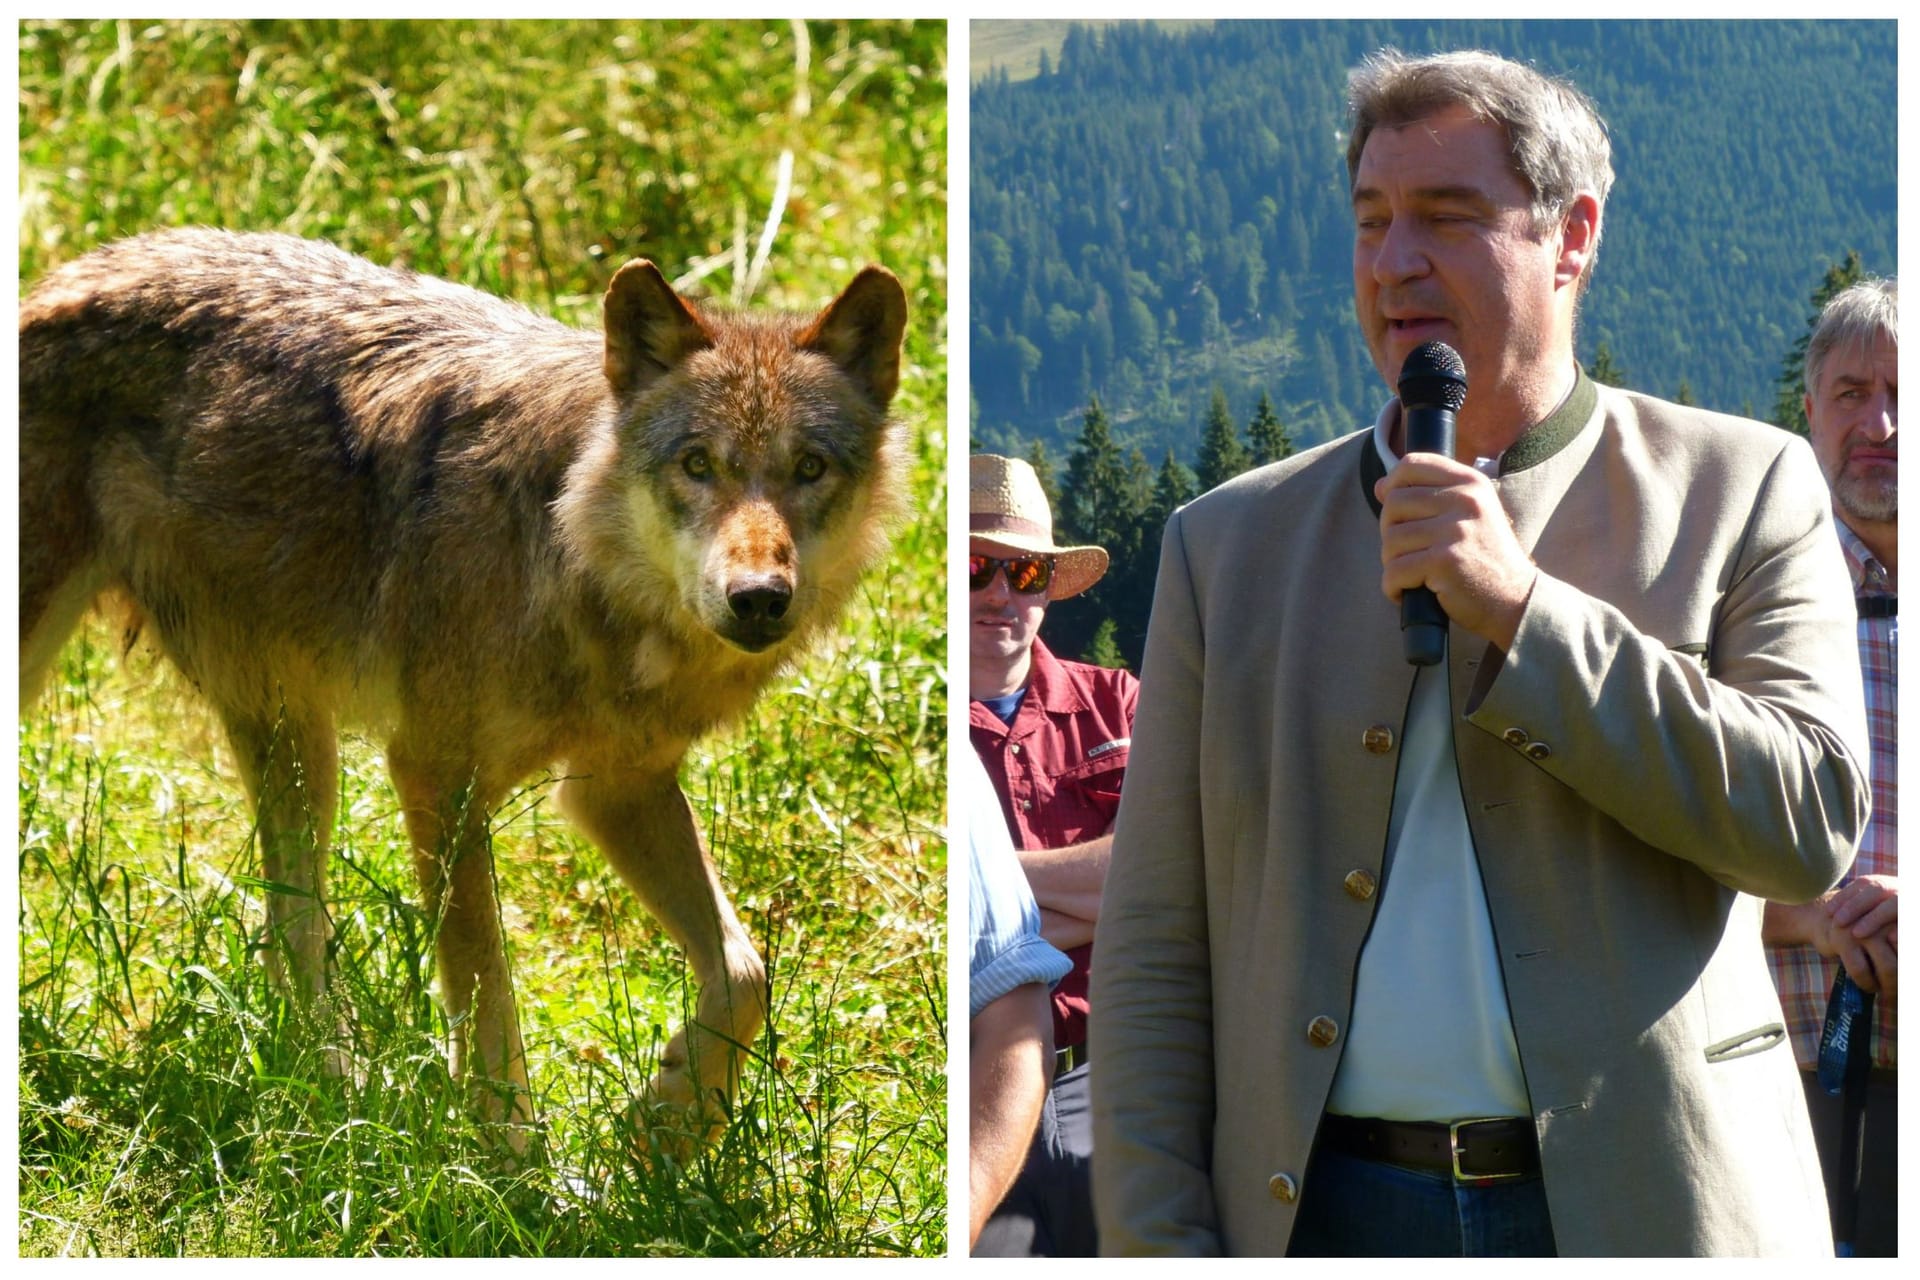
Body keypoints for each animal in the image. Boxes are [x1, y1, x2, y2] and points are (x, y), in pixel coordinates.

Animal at [18, 225, 906, 1159]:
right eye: (698, 465)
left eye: (808, 468)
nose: (759, 598)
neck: (569, 563)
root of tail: (73, 272)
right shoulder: (437, 778)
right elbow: (486, 992)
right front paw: (515, 1163)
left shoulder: (617, 787)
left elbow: (744, 973)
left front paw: (670, 1124)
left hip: (299, 745)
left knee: (290, 942)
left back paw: (330, 1093)